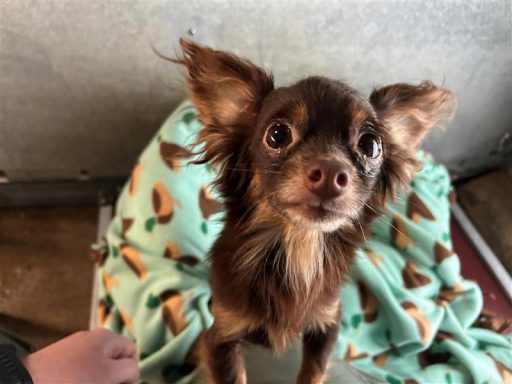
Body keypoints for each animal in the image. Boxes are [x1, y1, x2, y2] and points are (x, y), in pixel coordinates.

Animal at [171, 39, 456, 384]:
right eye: (277, 135)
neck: (299, 247)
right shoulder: (222, 338)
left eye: (370, 146)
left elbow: (313, 372)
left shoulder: (326, 325)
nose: (331, 173)